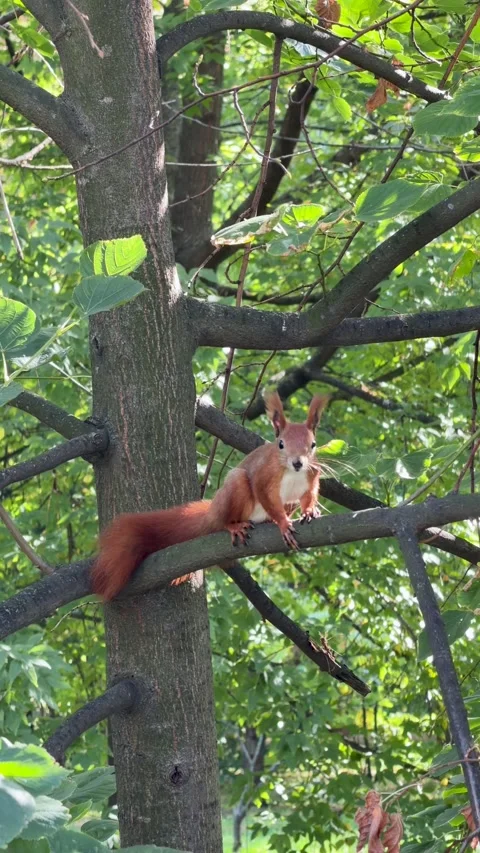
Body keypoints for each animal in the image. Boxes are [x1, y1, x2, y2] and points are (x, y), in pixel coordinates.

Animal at [91, 392, 329, 600]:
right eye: (281, 444)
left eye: (313, 444)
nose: (297, 462)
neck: (292, 473)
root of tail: (212, 513)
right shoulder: (263, 477)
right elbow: (265, 496)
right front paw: (283, 523)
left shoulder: (311, 477)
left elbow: (309, 496)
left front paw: (310, 511)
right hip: (235, 487)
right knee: (226, 518)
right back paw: (234, 525)